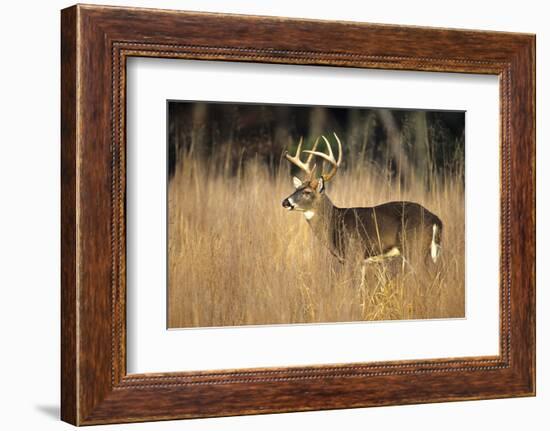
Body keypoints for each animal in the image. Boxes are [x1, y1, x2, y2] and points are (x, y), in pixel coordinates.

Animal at [282, 132, 446, 280]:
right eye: (296, 189)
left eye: (307, 192)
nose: (285, 202)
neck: (334, 222)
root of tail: (435, 219)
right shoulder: (361, 261)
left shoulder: (353, 253)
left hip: (414, 247)